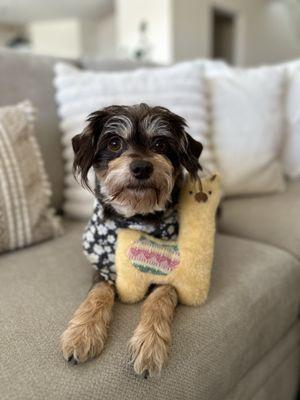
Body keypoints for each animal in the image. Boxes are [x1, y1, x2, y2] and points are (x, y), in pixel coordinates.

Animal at [61, 102, 203, 376]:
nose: (141, 167)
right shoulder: (104, 267)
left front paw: (150, 345)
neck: (136, 216)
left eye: (160, 144)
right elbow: (98, 294)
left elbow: (160, 299)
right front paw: (82, 334)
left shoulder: (170, 272)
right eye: (114, 143)